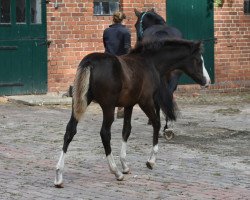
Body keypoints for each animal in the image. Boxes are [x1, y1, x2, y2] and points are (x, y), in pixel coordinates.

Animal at [54, 38, 209, 187]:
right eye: (199, 60)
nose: (207, 81)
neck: (150, 63)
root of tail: (89, 62)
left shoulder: (129, 104)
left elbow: (126, 130)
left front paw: (125, 165)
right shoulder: (145, 101)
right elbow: (156, 123)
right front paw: (151, 161)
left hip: (79, 102)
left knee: (70, 130)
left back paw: (59, 175)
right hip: (108, 106)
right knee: (104, 133)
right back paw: (116, 172)